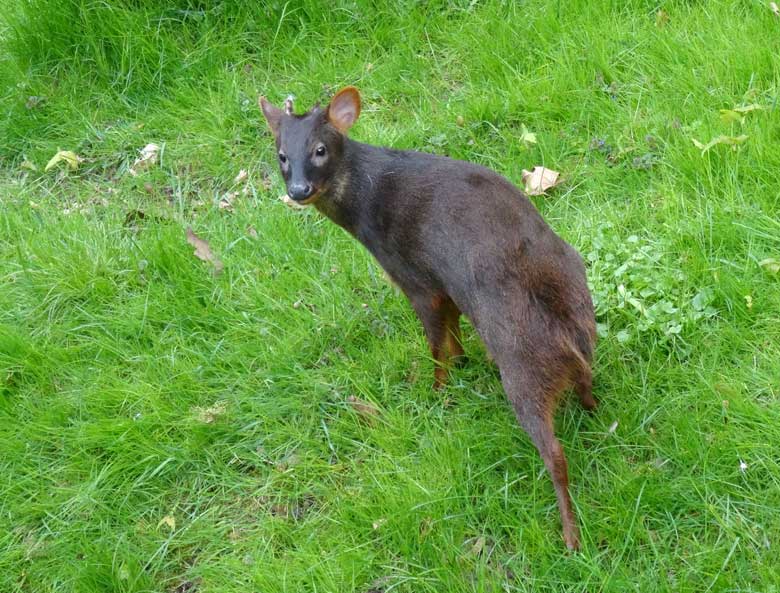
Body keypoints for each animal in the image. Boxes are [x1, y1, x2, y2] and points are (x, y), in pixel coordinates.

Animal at [262, 85, 596, 548]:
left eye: (320, 149)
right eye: (281, 154)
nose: (297, 190)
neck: (368, 208)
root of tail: (565, 333)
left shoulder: (416, 278)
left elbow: (435, 342)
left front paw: (437, 389)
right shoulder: (444, 284)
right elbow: (452, 331)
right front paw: (461, 363)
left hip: (521, 370)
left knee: (556, 454)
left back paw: (569, 537)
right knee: (588, 389)